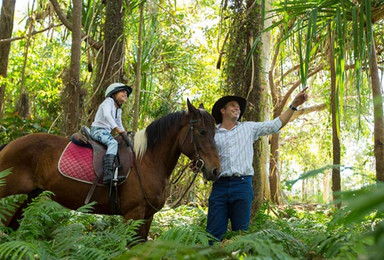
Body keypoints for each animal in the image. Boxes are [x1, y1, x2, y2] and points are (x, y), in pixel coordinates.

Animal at [0, 99, 220, 240]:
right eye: (202, 132)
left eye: (215, 132)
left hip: (26, 199)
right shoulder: (133, 215)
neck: (148, 161)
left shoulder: (147, 216)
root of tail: (10, 145)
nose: (216, 170)